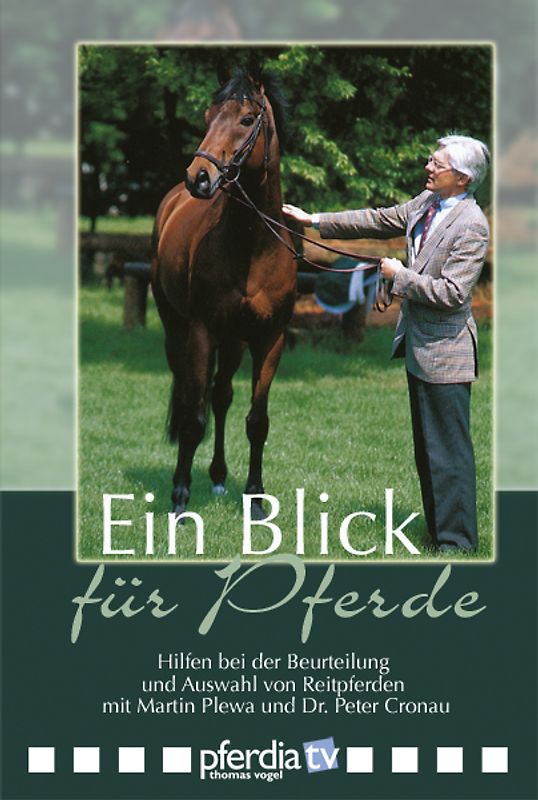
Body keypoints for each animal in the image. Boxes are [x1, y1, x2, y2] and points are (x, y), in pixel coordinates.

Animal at [151, 70, 296, 518]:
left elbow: (257, 421)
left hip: (234, 343)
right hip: (177, 330)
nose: (199, 177)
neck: (252, 248)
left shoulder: (270, 340)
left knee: (221, 396)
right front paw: (180, 499)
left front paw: (255, 498)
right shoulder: (201, 332)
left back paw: (217, 477)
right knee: (189, 396)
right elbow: (193, 420)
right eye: (207, 116)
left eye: (247, 120)